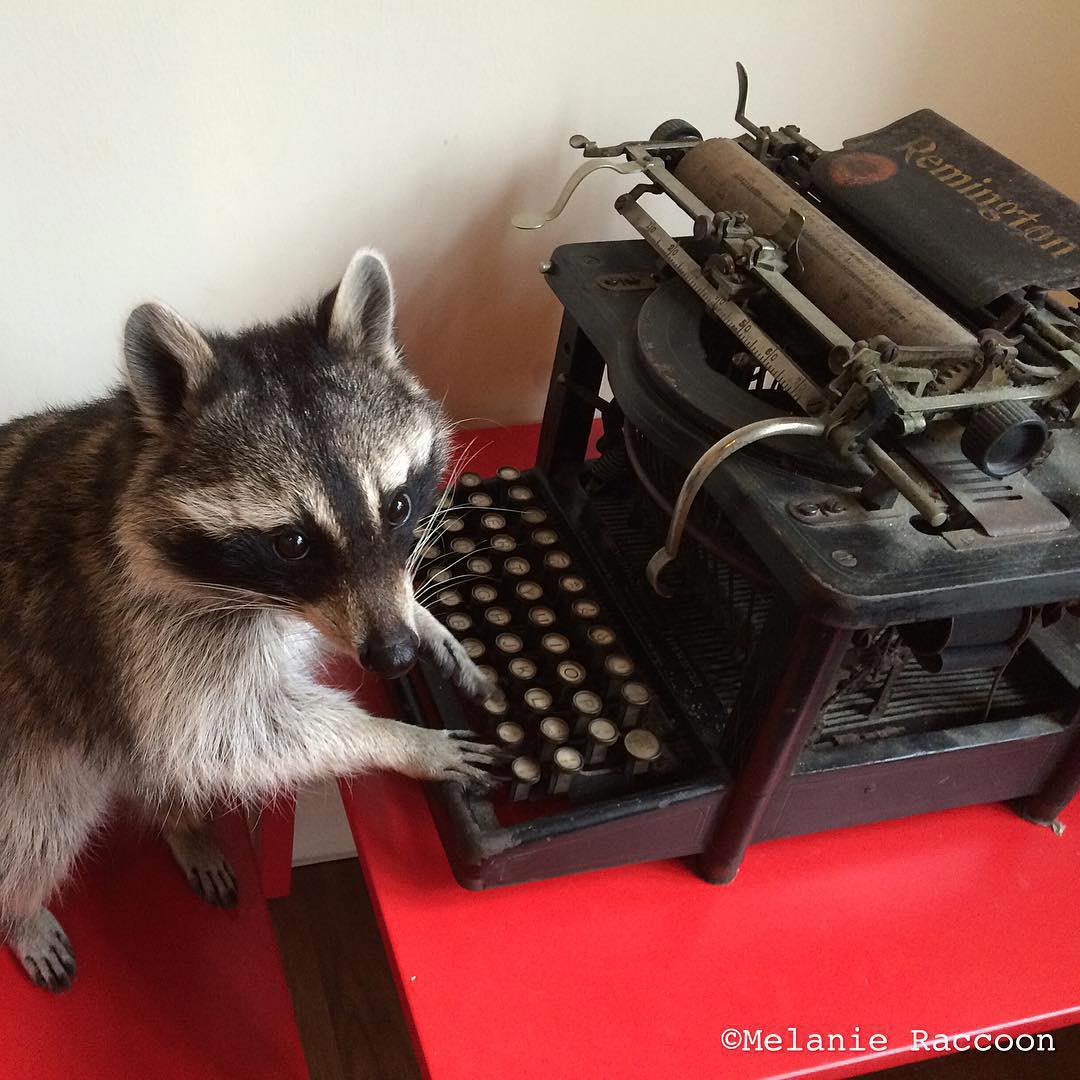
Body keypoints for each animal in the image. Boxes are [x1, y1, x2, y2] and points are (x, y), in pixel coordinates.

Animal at [0, 249, 500, 991]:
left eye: (398, 505)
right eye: (292, 543)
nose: (393, 656)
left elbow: (190, 751)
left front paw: (425, 618)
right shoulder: (142, 630)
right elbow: (221, 738)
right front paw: (402, 742)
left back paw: (184, 826)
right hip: (28, 749)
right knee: (39, 828)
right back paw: (23, 913)